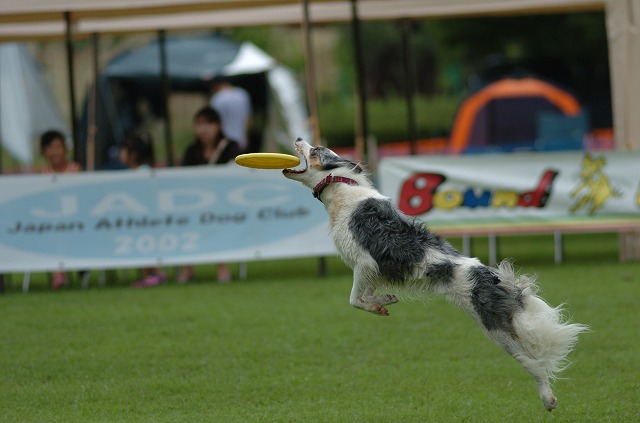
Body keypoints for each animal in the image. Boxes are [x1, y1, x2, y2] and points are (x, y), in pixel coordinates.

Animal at [284, 139, 592, 410]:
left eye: (316, 150)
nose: (298, 137)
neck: (341, 187)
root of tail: (496, 279)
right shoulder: (373, 272)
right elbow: (367, 295)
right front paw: (385, 300)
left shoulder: (364, 263)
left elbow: (354, 300)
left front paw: (378, 305)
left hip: (496, 330)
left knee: (534, 363)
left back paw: (548, 399)